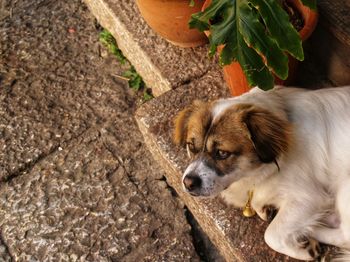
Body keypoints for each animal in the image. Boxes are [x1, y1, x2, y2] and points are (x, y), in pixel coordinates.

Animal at [175, 86, 350, 260]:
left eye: (222, 153)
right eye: (191, 146)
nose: (188, 183)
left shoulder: (309, 197)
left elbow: (271, 235)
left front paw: (304, 250)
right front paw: (264, 208)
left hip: (344, 187)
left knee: (344, 236)